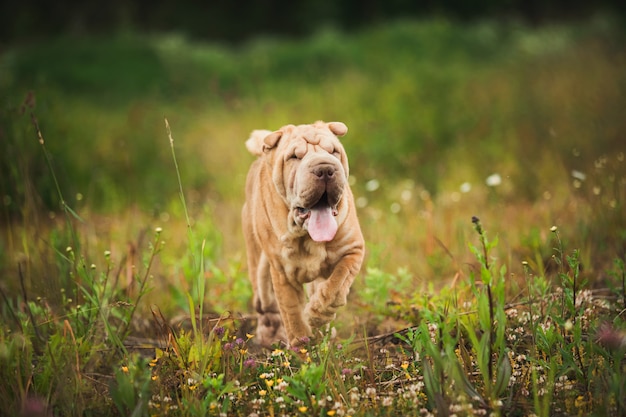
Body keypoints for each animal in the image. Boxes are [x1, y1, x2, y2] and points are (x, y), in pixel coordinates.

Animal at [241, 121, 364, 348]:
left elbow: (336, 285)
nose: (325, 169)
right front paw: (301, 346)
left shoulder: (352, 251)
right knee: (265, 302)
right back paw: (270, 334)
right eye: (294, 157)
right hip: (258, 262)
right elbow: (292, 314)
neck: (306, 236)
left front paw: (316, 315)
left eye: (333, 151)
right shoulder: (283, 274)